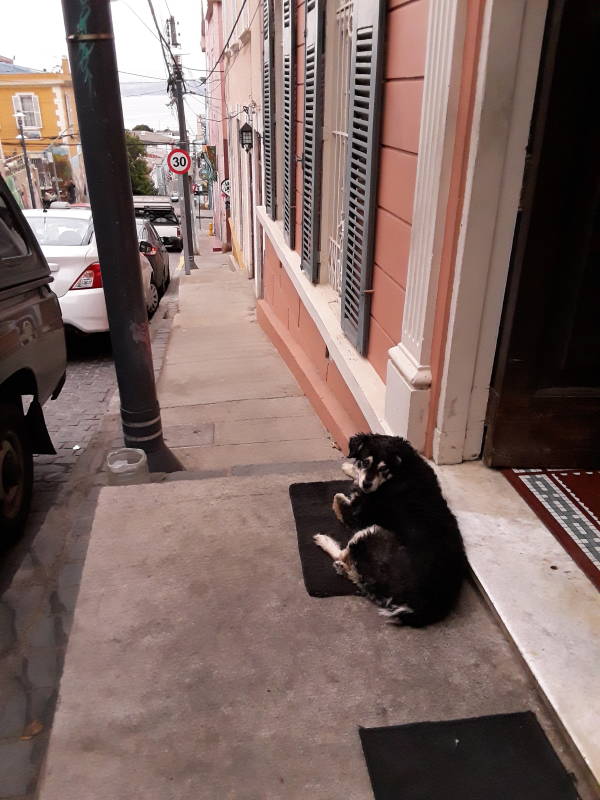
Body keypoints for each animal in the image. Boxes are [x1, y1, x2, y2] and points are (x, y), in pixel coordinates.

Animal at [314, 434, 468, 628]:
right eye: (365, 462)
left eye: (383, 468)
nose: (367, 484)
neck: (401, 471)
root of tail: (420, 608)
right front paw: (350, 467)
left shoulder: (357, 517)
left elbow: (337, 498)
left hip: (372, 531)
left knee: (343, 555)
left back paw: (324, 542)